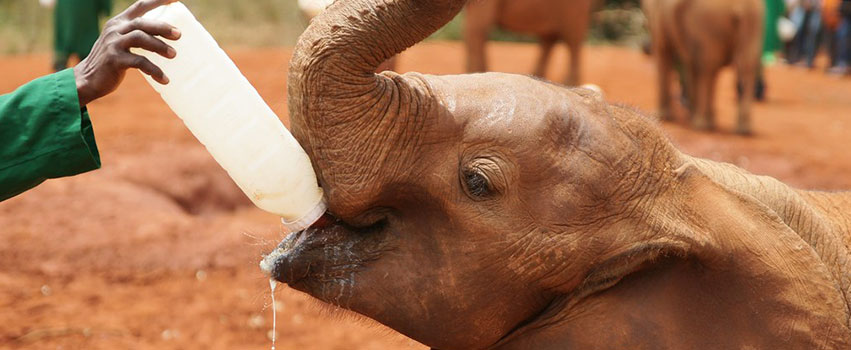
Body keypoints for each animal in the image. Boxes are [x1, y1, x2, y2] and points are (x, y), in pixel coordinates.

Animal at [644, 0, 764, 134]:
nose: (645, 47)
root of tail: (741, 6)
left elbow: (665, 52)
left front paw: (663, 116)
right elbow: (689, 62)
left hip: (708, 24)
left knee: (707, 68)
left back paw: (701, 124)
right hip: (754, 22)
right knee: (746, 67)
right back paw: (742, 130)